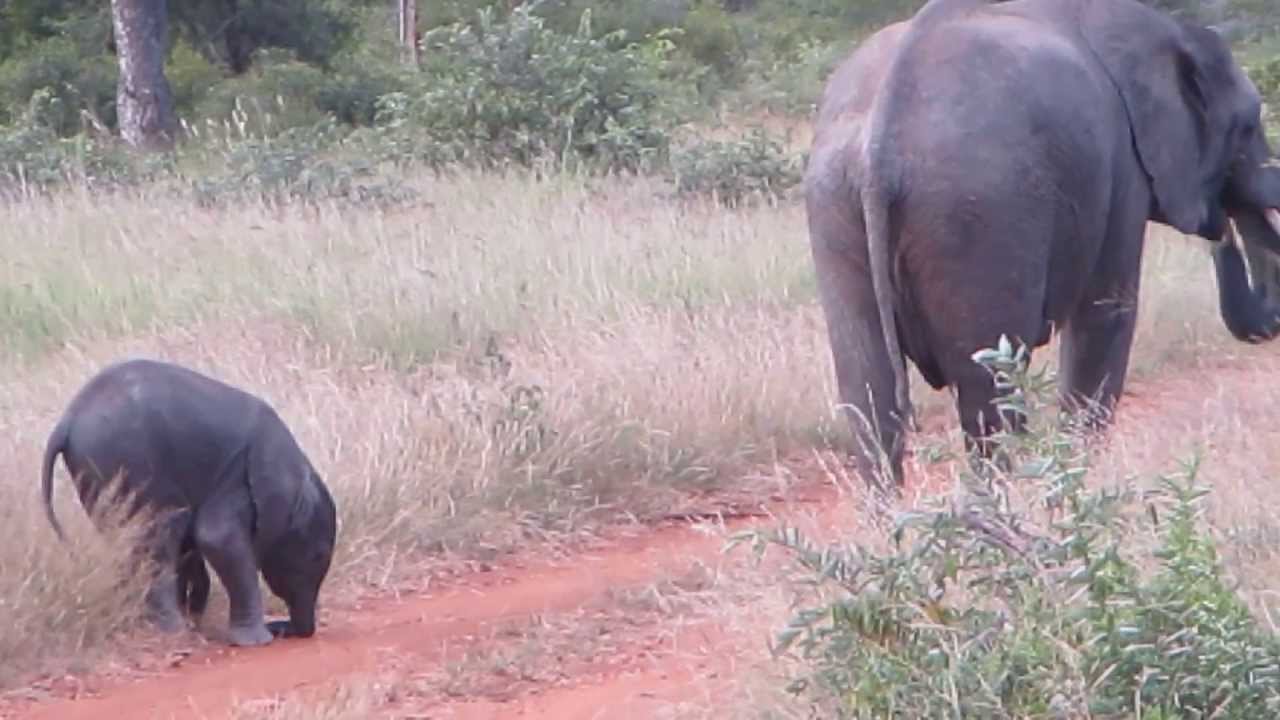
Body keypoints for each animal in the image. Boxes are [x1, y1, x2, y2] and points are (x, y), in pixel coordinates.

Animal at [41, 358, 338, 647]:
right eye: (317, 556)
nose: (281, 628)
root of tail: (66, 421)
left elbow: (195, 542)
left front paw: (196, 613)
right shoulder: (236, 478)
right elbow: (216, 539)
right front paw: (256, 641)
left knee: (131, 539)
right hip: (125, 461)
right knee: (157, 537)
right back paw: (175, 631)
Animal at [804, 0, 1280, 488]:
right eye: (1248, 125)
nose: (1222, 226)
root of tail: (881, 141)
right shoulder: (1122, 168)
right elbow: (1106, 317)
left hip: (835, 202)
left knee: (869, 394)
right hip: (979, 209)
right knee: (988, 390)